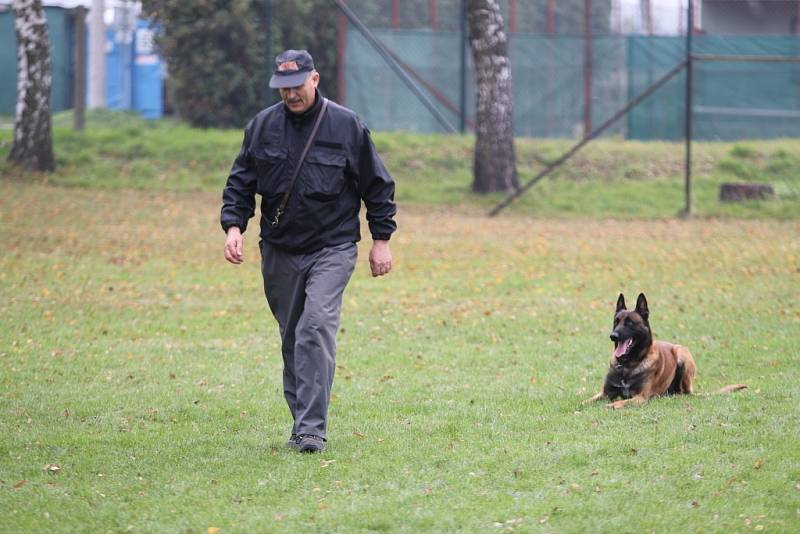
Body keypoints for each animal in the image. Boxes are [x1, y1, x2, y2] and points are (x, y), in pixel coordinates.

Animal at [584, 294, 748, 410]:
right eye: (616, 322)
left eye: (629, 323)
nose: (613, 336)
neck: (628, 365)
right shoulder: (605, 393)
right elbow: (586, 401)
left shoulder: (640, 397)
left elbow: (624, 402)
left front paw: (613, 405)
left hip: (681, 353)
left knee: (683, 393)